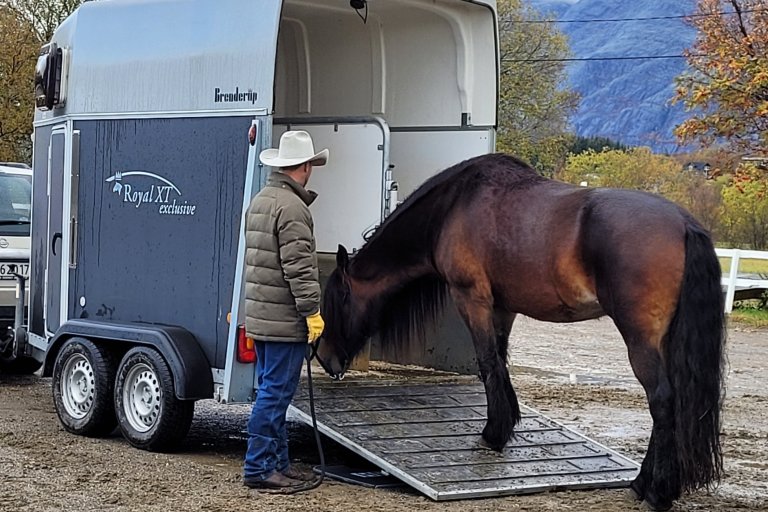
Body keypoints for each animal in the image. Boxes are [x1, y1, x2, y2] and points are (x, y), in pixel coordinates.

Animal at [314, 151, 728, 508]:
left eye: (335, 301)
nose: (323, 356)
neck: (455, 206)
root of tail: (685, 224)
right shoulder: (503, 308)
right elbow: (500, 361)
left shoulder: (472, 300)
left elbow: (487, 363)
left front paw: (492, 434)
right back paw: (644, 483)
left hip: (640, 339)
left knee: (662, 401)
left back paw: (656, 491)